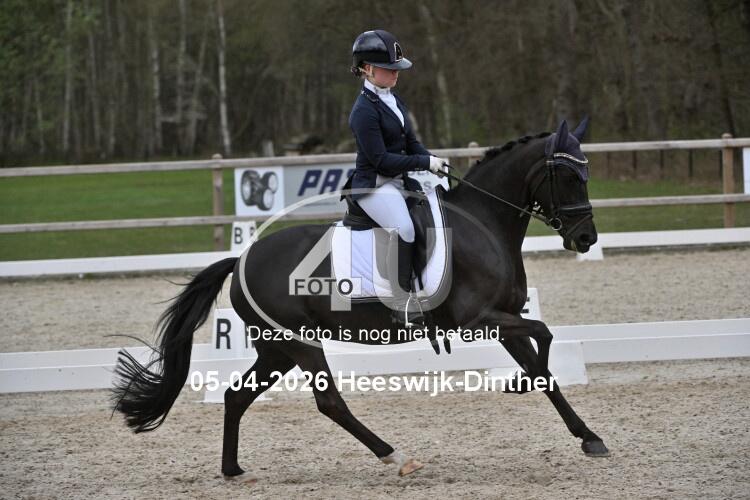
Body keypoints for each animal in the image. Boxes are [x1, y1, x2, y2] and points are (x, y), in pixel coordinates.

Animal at [111, 118, 610, 479]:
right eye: (568, 175)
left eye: (587, 172)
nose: (585, 238)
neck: (484, 224)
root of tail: (241, 260)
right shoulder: (480, 319)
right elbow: (544, 335)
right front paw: (520, 383)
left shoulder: (504, 319)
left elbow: (544, 367)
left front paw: (588, 436)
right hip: (300, 343)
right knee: (330, 403)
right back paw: (396, 457)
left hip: (276, 349)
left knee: (237, 396)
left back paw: (233, 470)